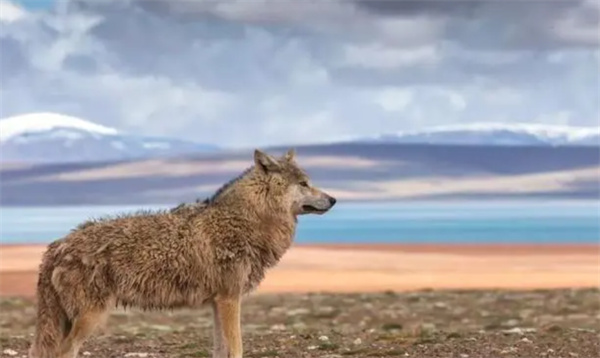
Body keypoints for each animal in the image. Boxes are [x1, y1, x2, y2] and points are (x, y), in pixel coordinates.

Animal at [29, 148, 338, 358]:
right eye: (304, 183)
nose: (334, 199)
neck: (246, 220)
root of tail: (57, 245)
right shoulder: (230, 299)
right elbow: (236, 348)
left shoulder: (218, 302)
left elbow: (221, 349)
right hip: (90, 318)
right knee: (63, 352)